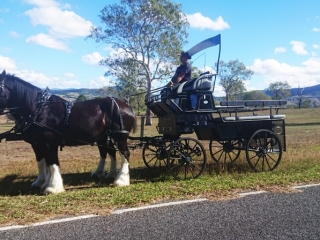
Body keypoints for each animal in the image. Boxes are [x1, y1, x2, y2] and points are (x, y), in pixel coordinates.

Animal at [0, 70, 136, 194]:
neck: (39, 109)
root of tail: (127, 106)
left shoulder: (49, 143)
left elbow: (52, 163)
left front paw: (53, 187)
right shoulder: (37, 143)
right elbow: (42, 162)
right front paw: (41, 182)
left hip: (120, 136)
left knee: (125, 153)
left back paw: (121, 181)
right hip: (104, 137)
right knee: (109, 151)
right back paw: (107, 174)